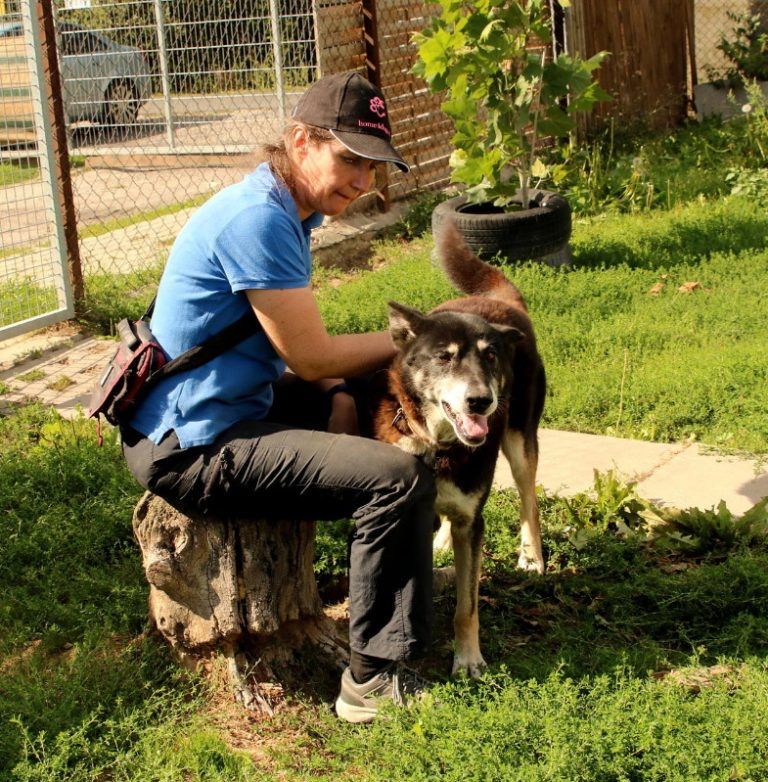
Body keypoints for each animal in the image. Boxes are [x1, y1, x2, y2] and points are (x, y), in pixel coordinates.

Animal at [372, 222, 544, 680]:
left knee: (529, 499)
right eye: (444, 357)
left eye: (491, 357)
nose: (481, 401)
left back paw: (533, 557)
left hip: (521, 442)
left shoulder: (474, 525)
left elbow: (467, 607)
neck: (439, 446)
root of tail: (502, 303)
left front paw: (467, 659)